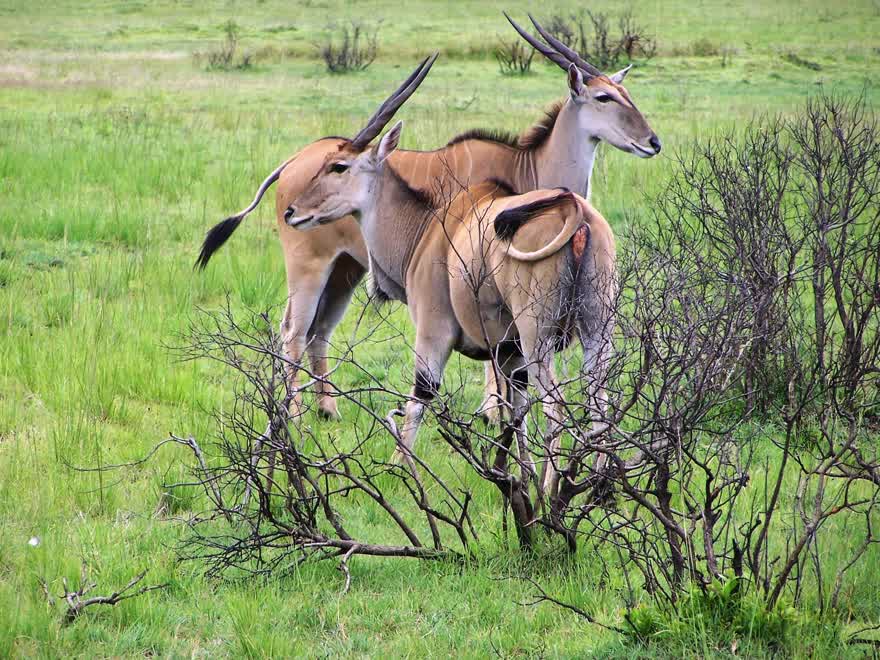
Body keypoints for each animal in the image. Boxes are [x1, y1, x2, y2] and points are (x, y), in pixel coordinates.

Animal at [196, 15, 659, 422]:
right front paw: (491, 412)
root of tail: (292, 161)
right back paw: (292, 414)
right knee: (293, 330)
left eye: (625, 93)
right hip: (309, 266)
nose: (653, 142)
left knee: (318, 331)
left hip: (345, 270)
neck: (529, 166)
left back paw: (328, 410)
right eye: (604, 98)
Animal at [285, 114, 618, 497]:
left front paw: (402, 468)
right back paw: (599, 487)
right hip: (596, 333)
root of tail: (575, 213)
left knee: (557, 408)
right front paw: (522, 473)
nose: (292, 212)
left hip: (539, 338)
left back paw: (550, 491)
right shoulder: (509, 351)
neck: (425, 230)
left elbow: (421, 395)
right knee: (600, 403)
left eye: (339, 166)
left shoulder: (435, 332)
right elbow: (515, 408)